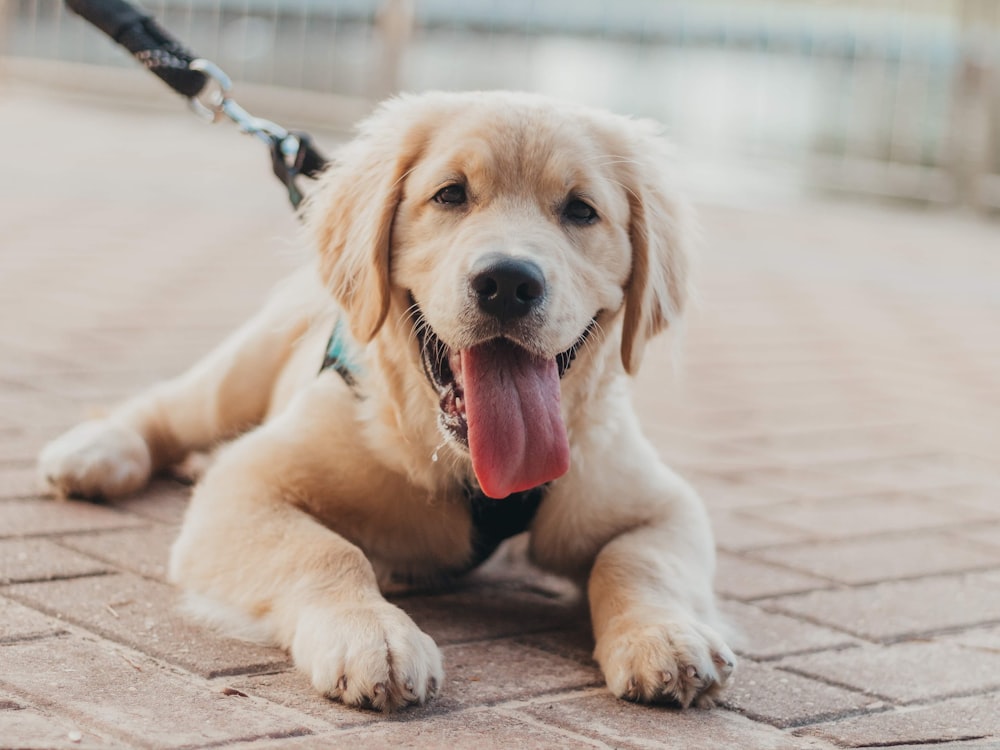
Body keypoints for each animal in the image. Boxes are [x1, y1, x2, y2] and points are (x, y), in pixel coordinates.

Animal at [39, 91, 736, 712]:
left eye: (581, 211)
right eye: (450, 193)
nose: (508, 282)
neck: (465, 465)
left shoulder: (663, 503)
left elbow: (636, 560)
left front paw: (666, 634)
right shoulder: (246, 484)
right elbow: (328, 550)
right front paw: (373, 636)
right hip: (240, 372)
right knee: (168, 407)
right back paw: (96, 452)